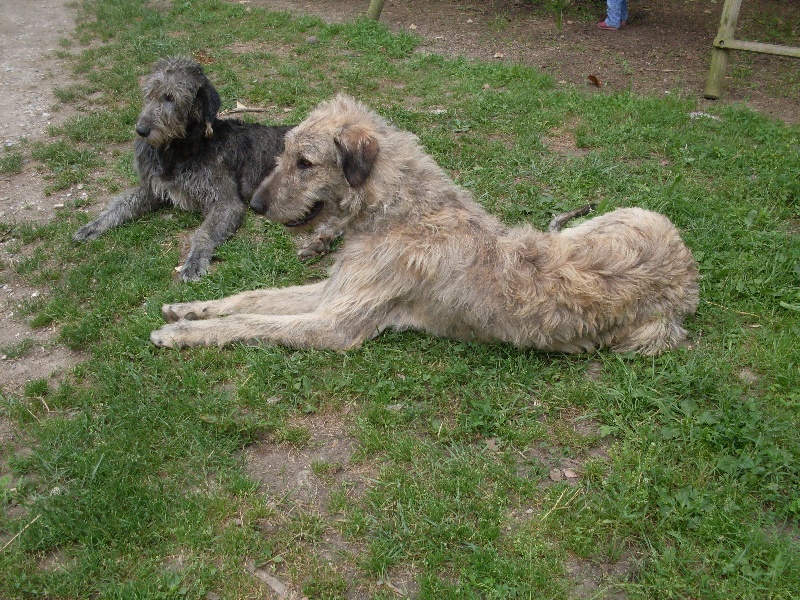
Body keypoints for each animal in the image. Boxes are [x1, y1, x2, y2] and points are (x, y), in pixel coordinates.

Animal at [73, 56, 292, 281]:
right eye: (149, 94)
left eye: (170, 97)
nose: (141, 130)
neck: (183, 148)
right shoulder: (156, 186)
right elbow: (123, 204)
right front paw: (94, 225)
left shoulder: (226, 203)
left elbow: (204, 232)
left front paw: (194, 260)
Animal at [151, 94, 699, 354]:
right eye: (283, 153)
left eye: (305, 163)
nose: (257, 205)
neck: (395, 210)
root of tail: (686, 270)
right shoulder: (336, 289)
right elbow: (252, 298)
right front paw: (188, 309)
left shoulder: (337, 323)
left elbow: (253, 323)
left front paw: (181, 334)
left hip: (645, 335)